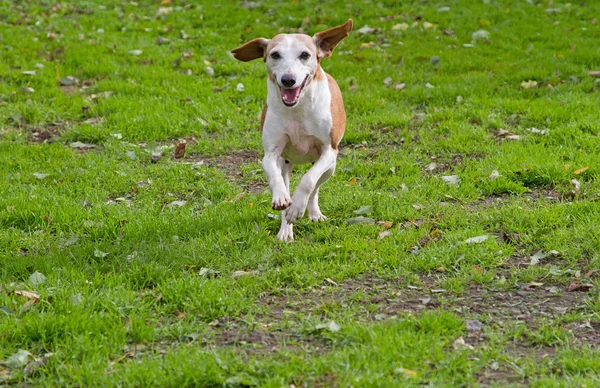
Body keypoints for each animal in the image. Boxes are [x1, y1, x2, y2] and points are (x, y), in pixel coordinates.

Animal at [230, 20, 352, 242]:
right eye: (275, 54)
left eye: (304, 55)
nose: (288, 79)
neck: (297, 109)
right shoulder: (271, 153)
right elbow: (274, 176)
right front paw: (283, 201)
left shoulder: (329, 151)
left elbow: (308, 180)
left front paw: (297, 208)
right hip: (285, 163)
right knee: (285, 182)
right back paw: (286, 228)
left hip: (330, 168)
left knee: (316, 187)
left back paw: (312, 212)